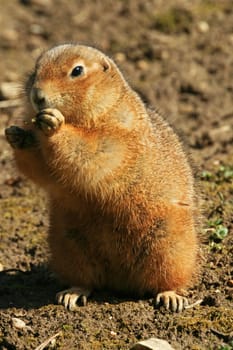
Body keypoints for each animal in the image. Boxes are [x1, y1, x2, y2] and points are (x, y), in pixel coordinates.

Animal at [5, 43, 198, 312]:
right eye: (35, 68)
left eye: (77, 70)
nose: (37, 96)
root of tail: (121, 283)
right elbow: (42, 171)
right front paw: (15, 134)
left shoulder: (118, 136)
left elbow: (93, 153)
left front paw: (55, 124)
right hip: (68, 243)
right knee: (87, 280)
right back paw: (72, 293)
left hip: (172, 247)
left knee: (168, 278)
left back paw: (171, 297)